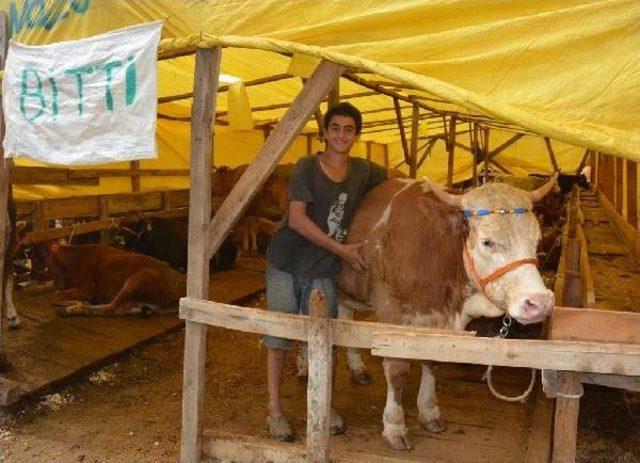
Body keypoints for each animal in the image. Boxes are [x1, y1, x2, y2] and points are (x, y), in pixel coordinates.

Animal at [50, 245, 185, 318]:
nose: (55, 284)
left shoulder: (86, 288)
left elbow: (55, 296)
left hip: (139, 279)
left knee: (110, 309)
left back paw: (67, 310)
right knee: (123, 309)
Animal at [336, 174, 556, 450]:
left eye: (537, 241)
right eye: (487, 242)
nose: (540, 302)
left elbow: (432, 362)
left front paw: (430, 413)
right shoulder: (392, 311)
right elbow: (397, 371)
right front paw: (394, 426)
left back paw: (357, 368)